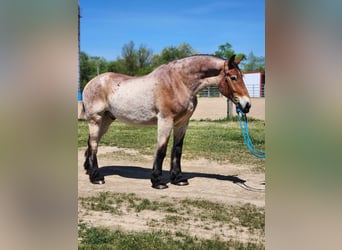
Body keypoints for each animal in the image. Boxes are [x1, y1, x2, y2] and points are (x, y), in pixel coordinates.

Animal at [81, 53, 250, 188]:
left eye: (242, 77)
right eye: (233, 78)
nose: (247, 105)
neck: (179, 82)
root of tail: (91, 83)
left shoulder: (182, 123)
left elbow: (177, 150)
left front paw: (179, 179)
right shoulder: (165, 121)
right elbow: (161, 150)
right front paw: (158, 181)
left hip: (106, 120)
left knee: (91, 143)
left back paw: (89, 170)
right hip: (95, 119)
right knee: (94, 144)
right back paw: (96, 177)